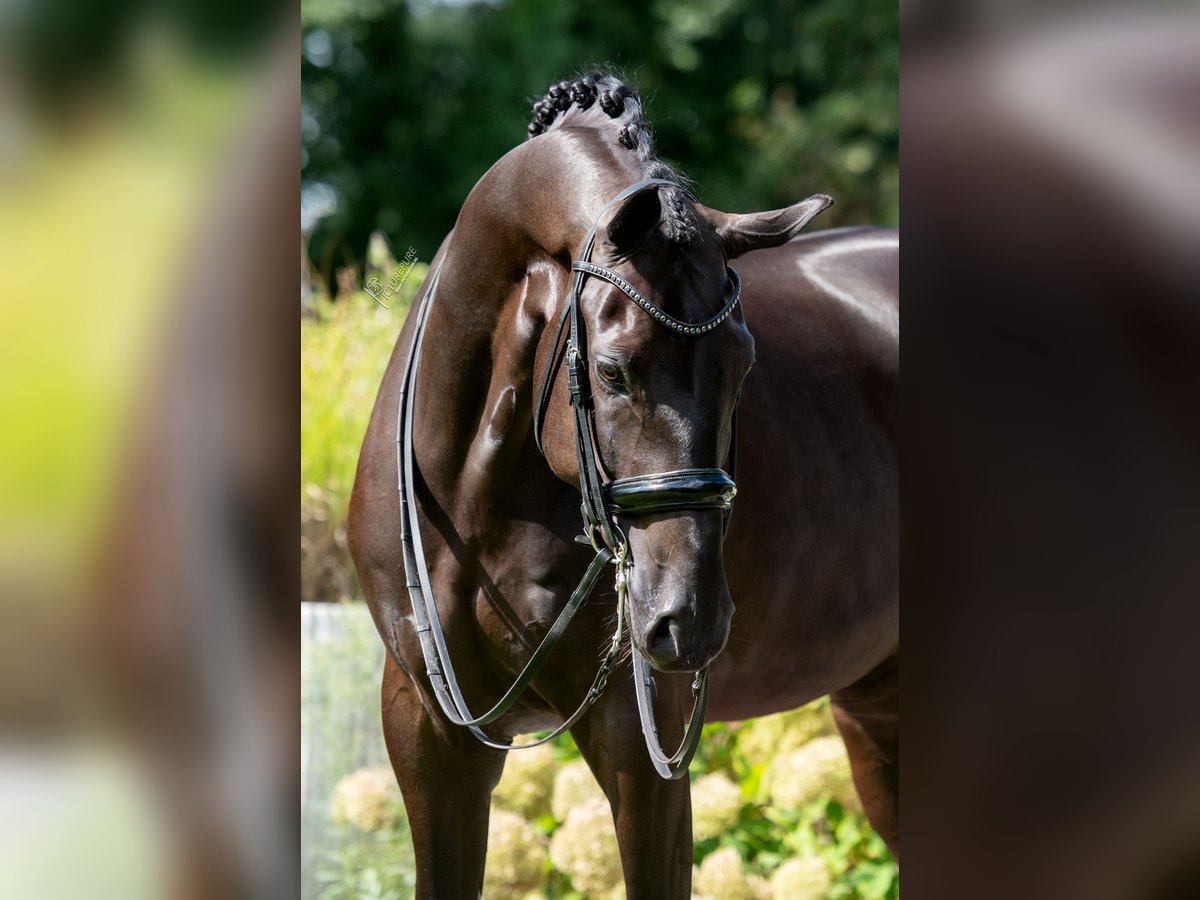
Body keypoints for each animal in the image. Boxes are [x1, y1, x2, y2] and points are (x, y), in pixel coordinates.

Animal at [343, 72, 897, 900]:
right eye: (610, 370)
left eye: (745, 367)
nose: (689, 621)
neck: (475, 501)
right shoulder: (428, 730)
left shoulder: (640, 741)